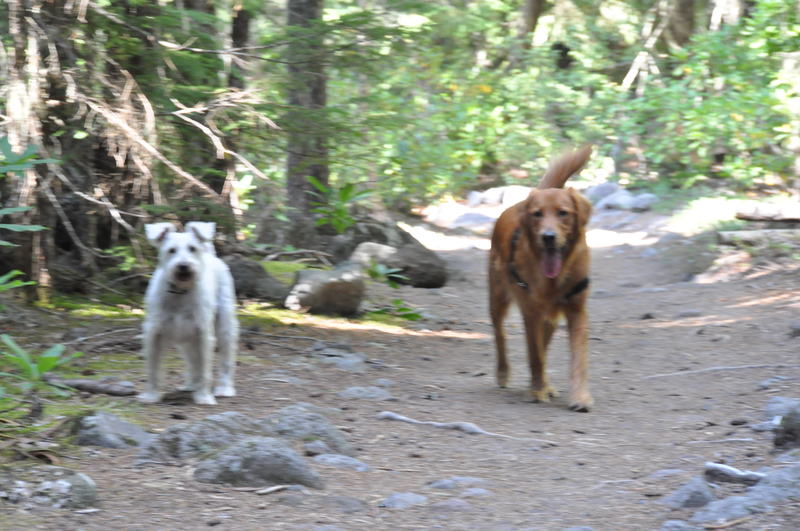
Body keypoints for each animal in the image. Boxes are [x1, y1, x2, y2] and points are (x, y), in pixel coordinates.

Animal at [138, 221, 238, 405]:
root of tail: (210, 255)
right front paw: (151, 396)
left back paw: (224, 388)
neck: (179, 293)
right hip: (187, 342)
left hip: (225, 327)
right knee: (193, 362)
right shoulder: (154, 334)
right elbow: (153, 369)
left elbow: (205, 368)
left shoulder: (203, 334)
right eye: (171, 250)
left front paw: (204, 397)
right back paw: (191, 384)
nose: (184, 266)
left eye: (192, 248)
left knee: (226, 360)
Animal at [488, 146, 594, 412]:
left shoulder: (576, 310)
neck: (554, 279)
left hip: (551, 318)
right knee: (499, 334)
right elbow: (535, 355)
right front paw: (536, 390)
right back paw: (504, 373)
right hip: (497, 297)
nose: (548, 237)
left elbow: (578, 358)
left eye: (563, 213)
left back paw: (546, 384)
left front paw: (580, 397)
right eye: (537, 214)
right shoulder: (531, 311)